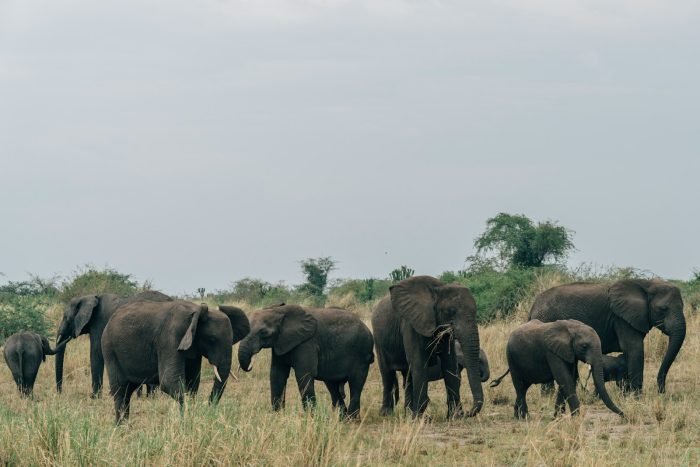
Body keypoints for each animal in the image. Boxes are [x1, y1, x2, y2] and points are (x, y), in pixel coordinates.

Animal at [102, 301, 248, 424]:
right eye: (212, 339)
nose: (209, 409)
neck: (196, 310)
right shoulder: (170, 337)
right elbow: (169, 382)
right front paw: (188, 419)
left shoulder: (193, 345)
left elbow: (192, 383)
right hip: (109, 349)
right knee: (120, 390)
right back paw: (121, 427)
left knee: (127, 391)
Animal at [238, 304, 374, 418]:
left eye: (263, 332)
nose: (249, 366)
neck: (280, 310)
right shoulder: (280, 343)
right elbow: (277, 374)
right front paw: (277, 417)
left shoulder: (306, 343)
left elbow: (303, 375)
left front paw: (311, 419)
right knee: (333, 387)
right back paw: (342, 420)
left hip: (362, 353)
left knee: (355, 384)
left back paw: (352, 420)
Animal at [372, 276, 484, 418]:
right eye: (451, 311)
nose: (468, 412)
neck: (439, 288)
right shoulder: (411, 323)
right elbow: (419, 362)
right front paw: (420, 418)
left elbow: (450, 363)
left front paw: (454, 416)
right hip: (379, 340)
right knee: (387, 373)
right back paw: (386, 414)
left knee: (408, 375)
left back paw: (408, 413)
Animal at [490, 319, 625, 419]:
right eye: (584, 346)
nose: (624, 415)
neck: (571, 328)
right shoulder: (551, 352)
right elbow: (564, 378)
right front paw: (576, 417)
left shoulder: (569, 352)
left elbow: (569, 379)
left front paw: (558, 417)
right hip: (510, 357)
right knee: (518, 384)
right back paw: (525, 418)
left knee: (524, 386)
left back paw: (517, 416)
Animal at [529, 279, 686, 394]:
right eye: (663, 309)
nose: (661, 392)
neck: (647, 283)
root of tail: (533, 307)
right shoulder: (621, 318)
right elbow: (634, 349)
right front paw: (637, 396)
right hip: (546, 320)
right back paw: (548, 396)